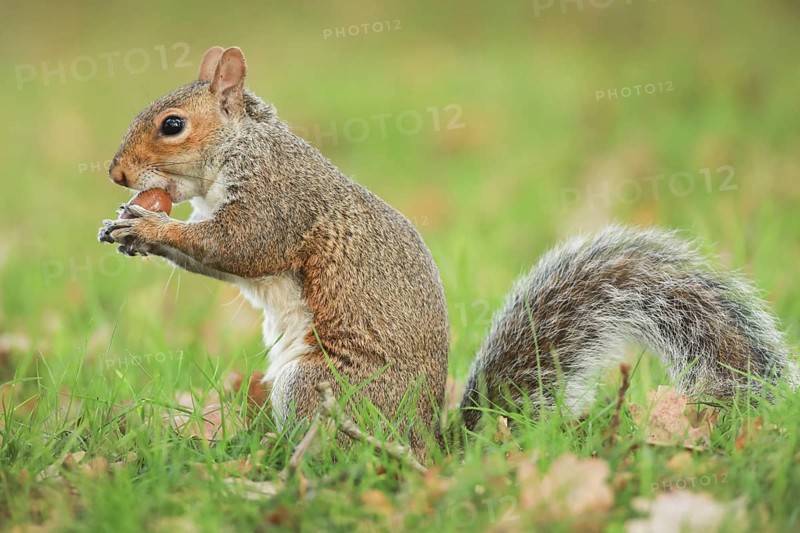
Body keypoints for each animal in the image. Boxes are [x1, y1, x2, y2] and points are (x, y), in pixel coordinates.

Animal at [98, 46, 798, 457]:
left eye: (172, 126)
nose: (116, 174)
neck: (243, 147)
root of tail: (428, 445)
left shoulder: (279, 200)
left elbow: (236, 245)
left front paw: (149, 229)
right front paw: (124, 226)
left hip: (319, 385)